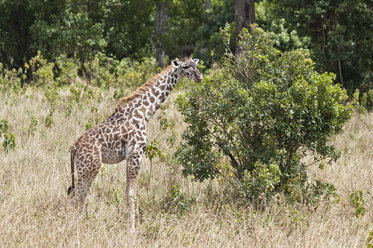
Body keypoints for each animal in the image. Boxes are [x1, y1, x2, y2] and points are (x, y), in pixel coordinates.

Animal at [67, 47, 201, 232]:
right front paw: (132, 229)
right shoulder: (136, 153)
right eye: (186, 66)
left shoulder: (131, 156)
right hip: (90, 167)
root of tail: (75, 146)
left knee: (76, 195)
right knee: (78, 198)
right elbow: (131, 194)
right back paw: (77, 228)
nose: (199, 77)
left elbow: (129, 192)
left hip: (82, 170)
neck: (145, 113)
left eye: (196, 65)